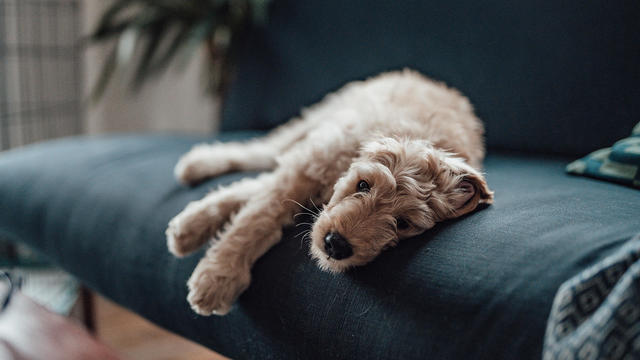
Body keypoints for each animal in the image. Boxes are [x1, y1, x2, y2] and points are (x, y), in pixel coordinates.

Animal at [166, 69, 496, 316]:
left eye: (403, 223)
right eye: (363, 184)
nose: (336, 245)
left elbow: (258, 194)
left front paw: (193, 228)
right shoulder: (311, 162)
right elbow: (258, 216)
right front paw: (218, 276)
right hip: (320, 117)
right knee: (265, 150)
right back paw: (199, 163)